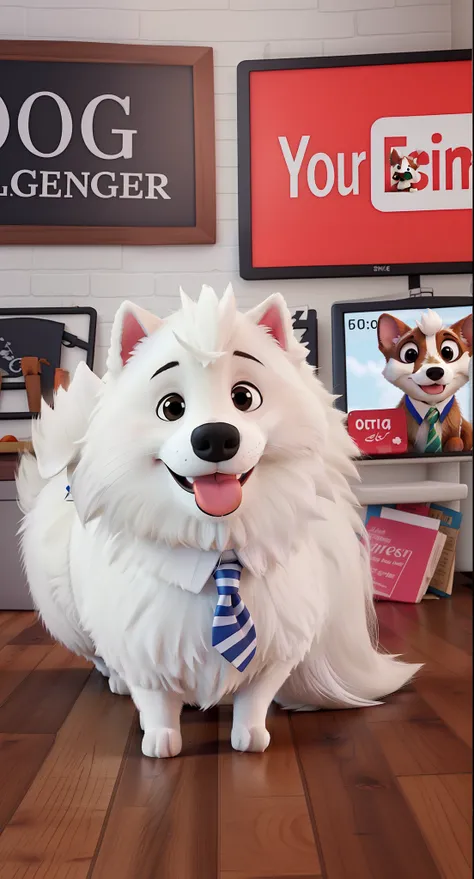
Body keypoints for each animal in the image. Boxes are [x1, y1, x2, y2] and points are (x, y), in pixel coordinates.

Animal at [16, 288, 420, 756]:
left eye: (244, 397)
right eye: (171, 408)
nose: (215, 437)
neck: (219, 551)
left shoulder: (275, 647)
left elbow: (254, 696)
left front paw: (250, 735)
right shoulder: (143, 641)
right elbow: (154, 698)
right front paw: (160, 739)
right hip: (68, 607)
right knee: (98, 651)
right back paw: (116, 681)